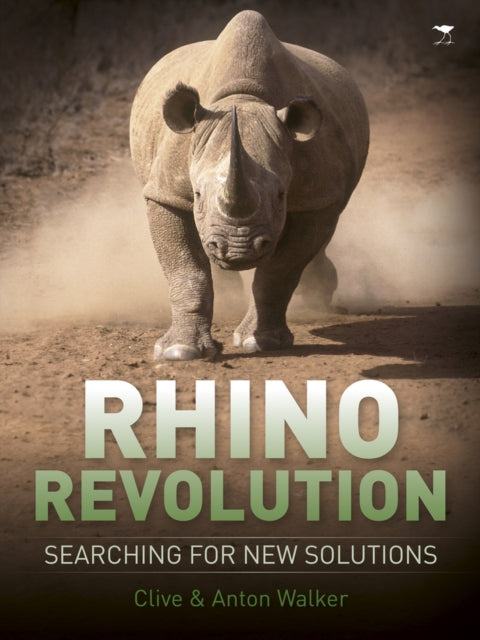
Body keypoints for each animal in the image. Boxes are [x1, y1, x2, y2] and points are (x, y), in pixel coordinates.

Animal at [130, 10, 369, 360]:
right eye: (197, 194)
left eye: (281, 196)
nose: (237, 250)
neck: (243, 98)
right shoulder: (165, 192)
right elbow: (186, 269)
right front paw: (179, 351)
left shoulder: (315, 196)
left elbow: (279, 272)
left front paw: (261, 343)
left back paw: (318, 298)